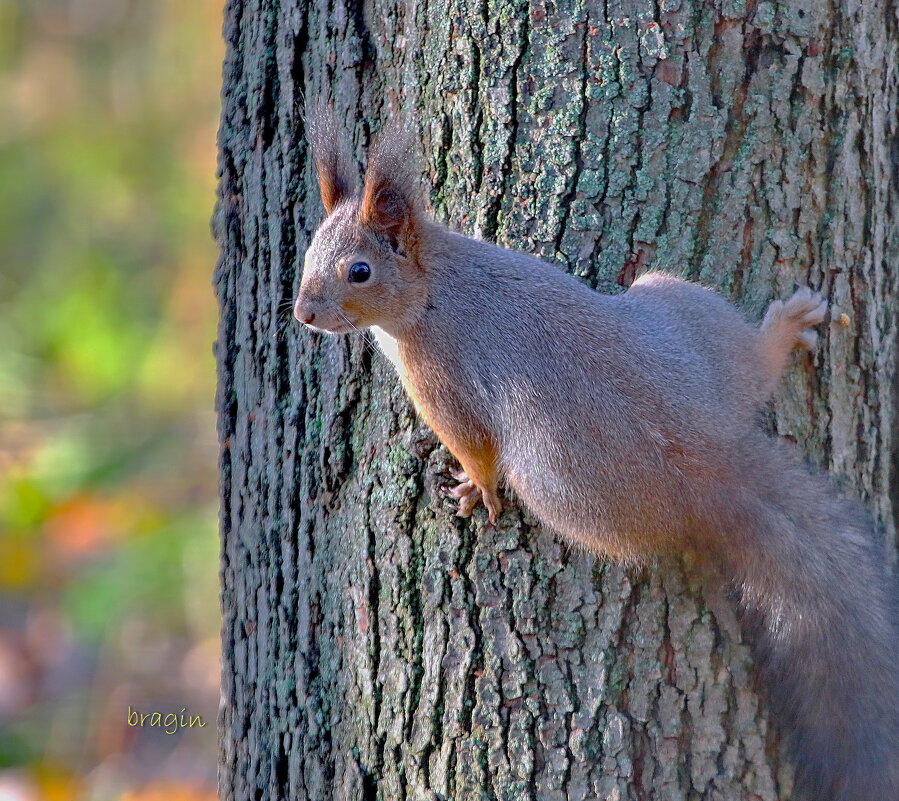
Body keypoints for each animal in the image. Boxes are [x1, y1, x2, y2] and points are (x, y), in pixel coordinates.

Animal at [296, 111, 899, 800]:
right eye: (309, 252)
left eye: (359, 272)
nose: (303, 312)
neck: (435, 285)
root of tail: (705, 453)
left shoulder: (440, 382)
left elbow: (472, 446)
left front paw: (477, 490)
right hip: (687, 315)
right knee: (752, 366)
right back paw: (783, 333)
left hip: (560, 482)